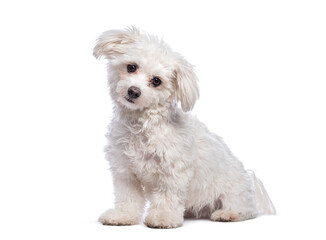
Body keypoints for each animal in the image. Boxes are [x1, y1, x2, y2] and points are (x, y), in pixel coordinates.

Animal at [93, 27, 276, 228]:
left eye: (156, 81)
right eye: (131, 67)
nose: (133, 91)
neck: (142, 125)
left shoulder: (173, 171)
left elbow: (167, 196)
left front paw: (163, 217)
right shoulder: (125, 172)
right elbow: (128, 198)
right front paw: (122, 216)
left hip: (234, 192)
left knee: (245, 210)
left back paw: (227, 214)